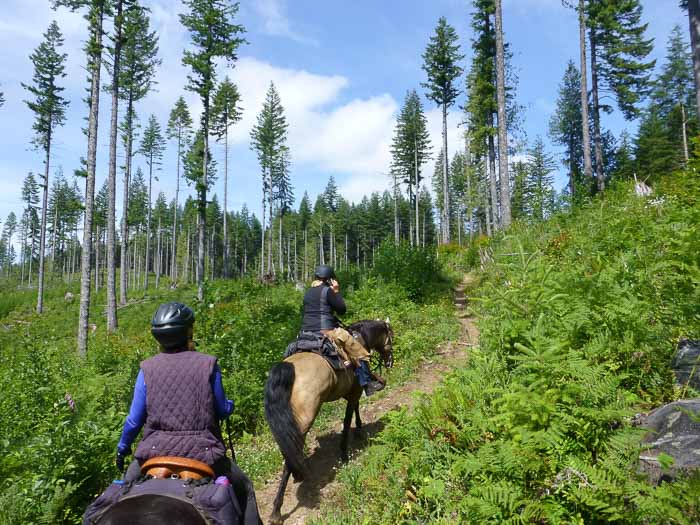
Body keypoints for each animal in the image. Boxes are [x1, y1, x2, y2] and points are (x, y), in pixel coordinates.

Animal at [262, 318, 394, 520]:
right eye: (391, 336)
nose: (390, 361)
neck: (361, 338)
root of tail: (288, 368)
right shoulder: (355, 389)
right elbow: (347, 419)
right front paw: (346, 451)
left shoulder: (352, 391)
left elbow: (355, 408)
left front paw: (359, 431)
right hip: (303, 422)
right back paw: (277, 509)